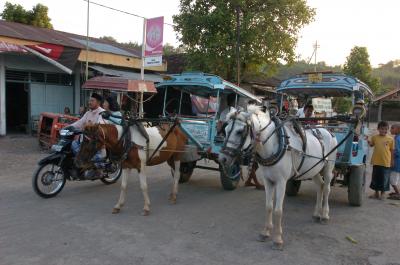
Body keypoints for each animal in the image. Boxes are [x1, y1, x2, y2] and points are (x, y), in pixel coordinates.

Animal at [219, 104, 338, 249]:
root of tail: (327, 131)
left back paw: (325, 215)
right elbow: (269, 207)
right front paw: (265, 232)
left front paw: (277, 239)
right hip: (313, 169)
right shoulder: (268, 181)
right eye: (225, 129)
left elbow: (278, 210)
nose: (222, 158)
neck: (274, 145)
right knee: (320, 186)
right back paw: (316, 214)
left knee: (326, 189)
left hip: (328, 167)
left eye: (240, 131)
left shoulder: (281, 182)